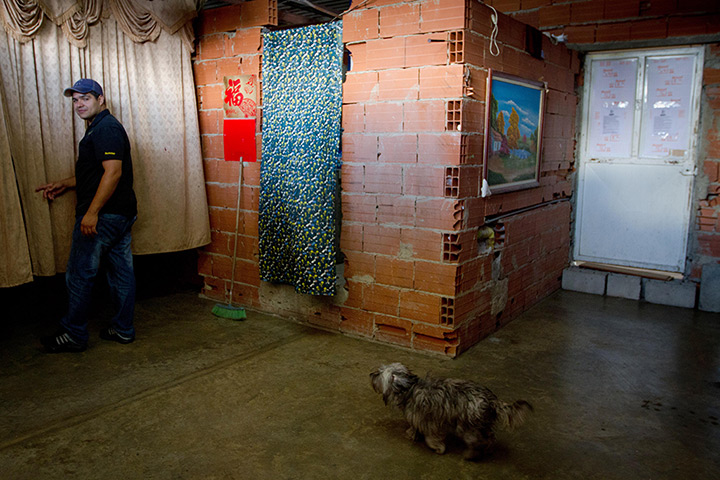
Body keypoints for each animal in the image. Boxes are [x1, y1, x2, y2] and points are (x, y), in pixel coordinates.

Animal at [372, 362, 536, 460]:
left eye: (380, 374)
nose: (371, 375)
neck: (409, 389)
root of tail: (492, 400)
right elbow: (415, 427)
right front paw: (412, 433)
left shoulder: (429, 421)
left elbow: (431, 437)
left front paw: (438, 447)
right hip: (483, 425)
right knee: (490, 437)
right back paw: (487, 450)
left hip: (469, 428)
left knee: (477, 441)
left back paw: (470, 454)